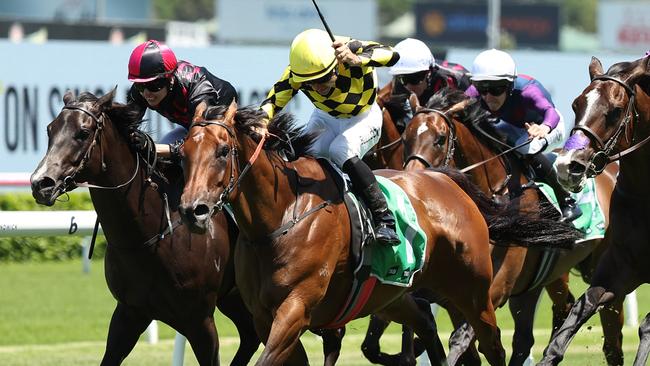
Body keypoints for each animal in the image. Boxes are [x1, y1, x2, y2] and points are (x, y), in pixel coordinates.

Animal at [29, 89, 258, 366]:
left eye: (83, 132)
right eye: (50, 129)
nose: (41, 183)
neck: (149, 238)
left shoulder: (200, 320)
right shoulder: (130, 313)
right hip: (233, 298)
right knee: (251, 334)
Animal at [177, 101, 584, 364]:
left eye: (223, 151)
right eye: (183, 154)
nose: (192, 209)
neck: (280, 217)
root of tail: (449, 181)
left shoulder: (296, 309)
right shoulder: (264, 317)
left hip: (474, 291)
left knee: (492, 345)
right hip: (397, 294)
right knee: (430, 330)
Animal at [400, 89, 616, 366]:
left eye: (439, 139)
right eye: (405, 138)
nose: (412, 179)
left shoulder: (495, 287)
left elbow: (462, 339)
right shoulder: (456, 291)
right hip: (540, 281)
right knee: (538, 327)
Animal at [536, 55, 648, 364]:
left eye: (616, 111)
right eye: (576, 105)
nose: (568, 166)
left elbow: (646, 327)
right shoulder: (618, 268)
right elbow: (576, 314)